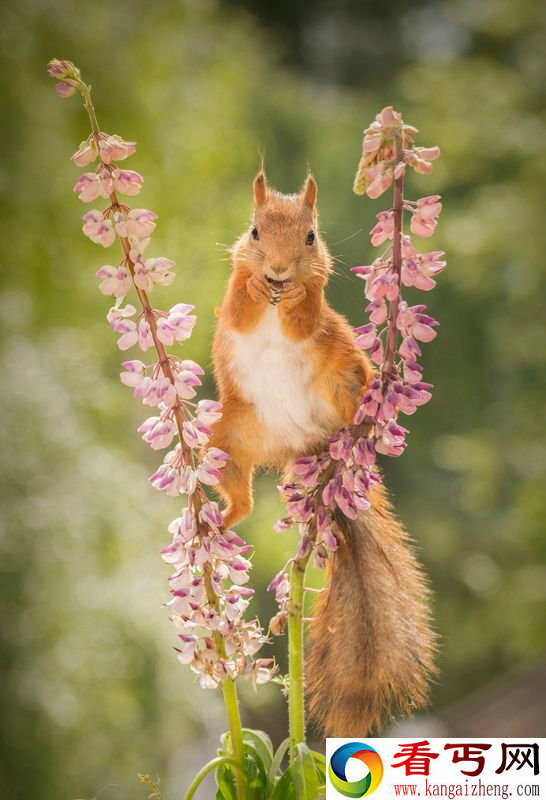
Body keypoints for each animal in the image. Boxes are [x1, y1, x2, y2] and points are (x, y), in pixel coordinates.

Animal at [208, 172, 434, 736]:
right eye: (254, 231)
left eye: (311, 237)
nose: (278, 271)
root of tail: (304, 443)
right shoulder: (233, 295)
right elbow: (237, 304)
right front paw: (255, 288)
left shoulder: (318, 304)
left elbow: (306, 313)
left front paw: (291, 296)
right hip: (228, 438)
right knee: (242, 497)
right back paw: (224, 522)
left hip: (347, 379)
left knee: (360, 401)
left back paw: (363, 429)